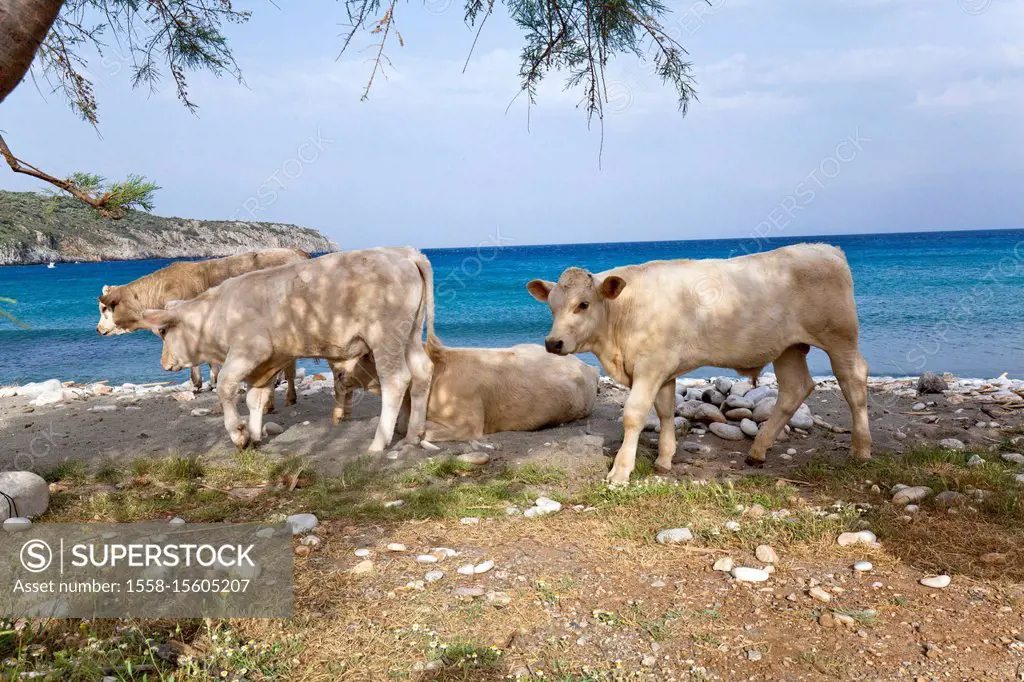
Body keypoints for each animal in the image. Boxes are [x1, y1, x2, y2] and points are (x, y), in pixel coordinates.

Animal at [137, 245, 436, 450]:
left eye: (162, 331)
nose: (163, 363)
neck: (217, 312)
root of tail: (404, 252)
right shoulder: (266, 363)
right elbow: (255, 399)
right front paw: (255, 435)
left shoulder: (248, 351)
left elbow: (225, 387)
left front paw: (238, 433)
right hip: (409, 336)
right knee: (422, 372)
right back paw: (412, 436)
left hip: (385, 338)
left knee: (396, 380)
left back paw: (379, 443)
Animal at [528, 242, 872, 483]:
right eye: (552, 306)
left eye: (583, 304)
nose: (553, 343)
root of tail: (828, 249)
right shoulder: (664, 368)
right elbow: (665, 410)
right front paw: (664, 459)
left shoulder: (651, 365)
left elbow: (634, 414)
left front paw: (621, 471)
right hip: (788, 348)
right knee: (794, 389)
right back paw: (757, 451)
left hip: (840, 337)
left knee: (853, 381)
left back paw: (861, 450)